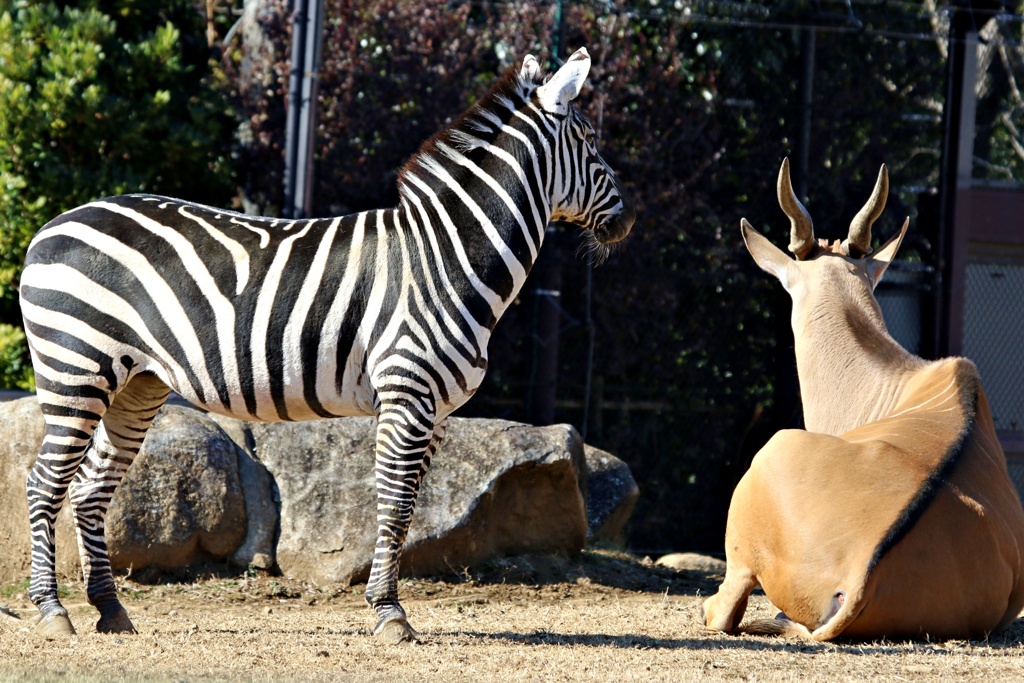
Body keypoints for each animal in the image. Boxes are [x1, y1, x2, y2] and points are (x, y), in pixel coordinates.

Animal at [19, 46, 630, 643]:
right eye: (590, 140)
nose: (625, 221)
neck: (443, 256)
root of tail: (53, 224)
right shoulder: (407, 393)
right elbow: (395, 504)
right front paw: (389, 613)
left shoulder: (434, 409)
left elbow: (406, 508)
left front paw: (386, 603)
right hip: (75, 368)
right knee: (44, 482)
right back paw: (53, 611)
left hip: (137, 384)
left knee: (90, 488)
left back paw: (109, 610)